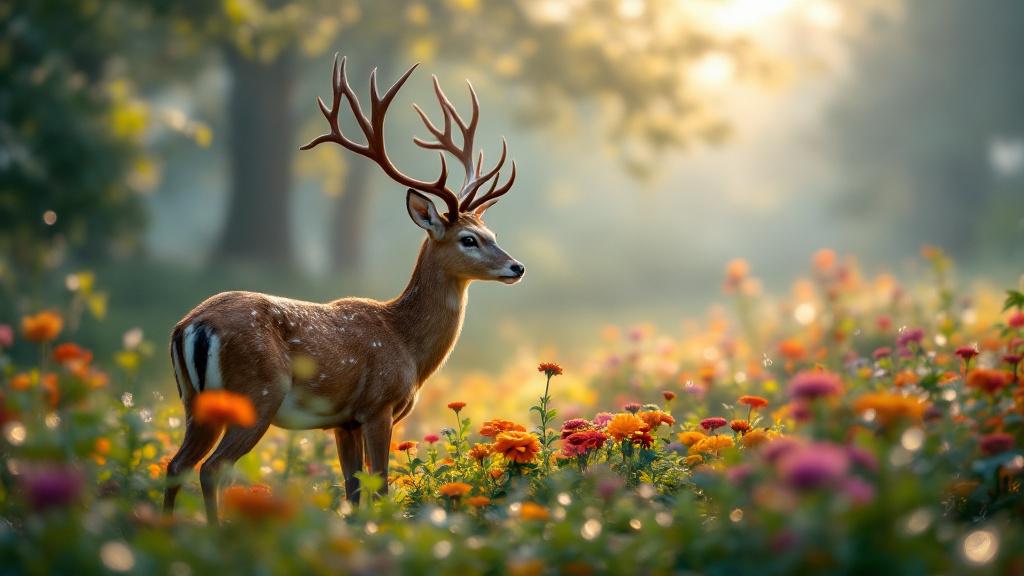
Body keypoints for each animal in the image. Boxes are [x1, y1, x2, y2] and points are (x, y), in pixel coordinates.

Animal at [162, 54, 523, 524]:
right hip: (256, 395)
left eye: (491, 232)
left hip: (193, 401)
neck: (407, 345)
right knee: (213, 468)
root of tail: (191, 327)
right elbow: (381, 487)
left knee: (176, 465)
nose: (516, 266)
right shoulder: (378, 407)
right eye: (468, 239)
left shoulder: (342, 421)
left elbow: (352, 494)